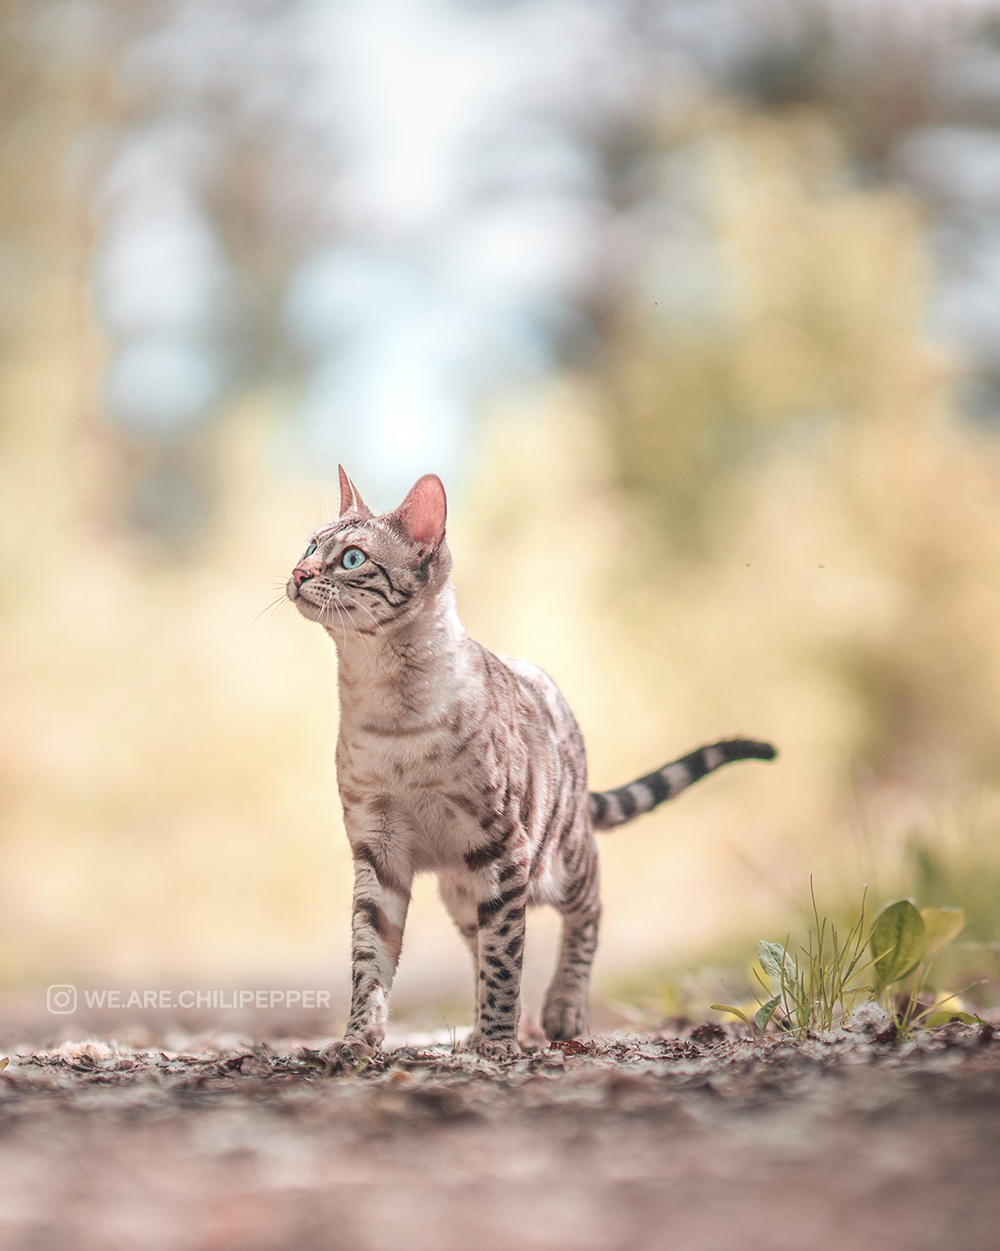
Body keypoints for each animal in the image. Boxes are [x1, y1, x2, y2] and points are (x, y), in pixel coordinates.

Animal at [285, 470, 775, 1065]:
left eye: (351, 558)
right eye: (309, 548)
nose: (297, 574)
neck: (388, 712)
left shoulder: (499, 848)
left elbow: (505, 961)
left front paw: (499, 1045)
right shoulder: (378, 850)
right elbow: (371, 960)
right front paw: (358, 1042)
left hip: (555, 859)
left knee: (587, 912)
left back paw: (560, 1010)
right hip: (463, 889)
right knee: (481, 939)